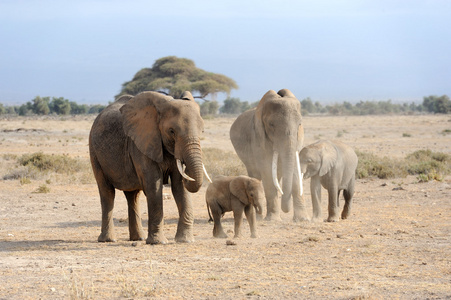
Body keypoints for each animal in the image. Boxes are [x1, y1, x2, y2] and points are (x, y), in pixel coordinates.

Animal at [89, 91, 211, 244]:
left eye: (202, 130)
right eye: (171, 131)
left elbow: (179, 186)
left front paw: (185, 240)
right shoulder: (141, 143)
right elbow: (154, 185)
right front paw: (158, 242)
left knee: (133, 196)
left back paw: (138, 238)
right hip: (94, 152)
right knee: (107, 192)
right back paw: (108, 240)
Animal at [230, 88, 308, 221]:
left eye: (299, 124)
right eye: (271, 125)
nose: (286, 210)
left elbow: (296, 172)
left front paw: (303, 219)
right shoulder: (258, 138)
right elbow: (267, 172)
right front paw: (273, 219)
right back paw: (258, 217)